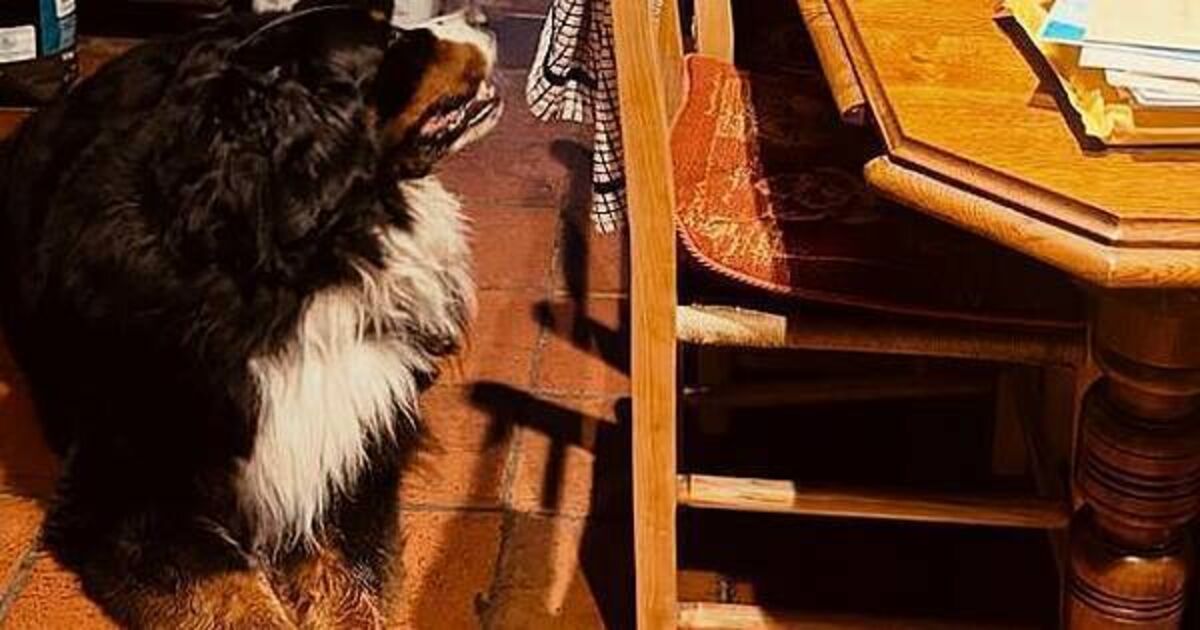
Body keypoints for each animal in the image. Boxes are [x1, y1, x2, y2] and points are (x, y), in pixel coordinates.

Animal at [0, 3, 499, 627]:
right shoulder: (125, 495)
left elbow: (348, 587)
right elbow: (235, 592)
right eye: (391, 40)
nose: (482, 15)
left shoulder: (348, 460)